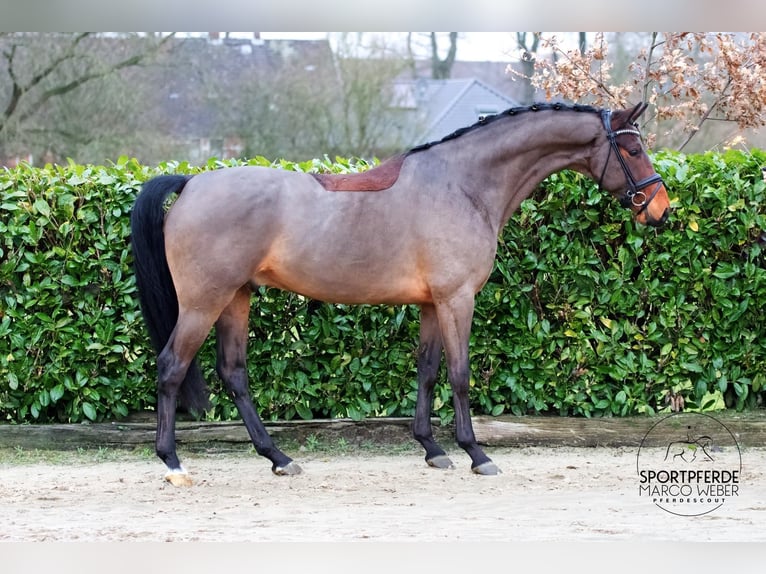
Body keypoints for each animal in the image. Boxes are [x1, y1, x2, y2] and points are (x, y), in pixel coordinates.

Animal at [130, 101, 670, 486]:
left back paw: (279, 458)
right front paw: (477, 454)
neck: (462, 183)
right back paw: (173, 465)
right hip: (204, 302)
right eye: (633, 150)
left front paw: (433, 449)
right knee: (171, 368)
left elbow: (428, 371)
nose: (660, 208)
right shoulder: (457, 300)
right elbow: (459, 375)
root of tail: (192, 183)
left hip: (236, 298)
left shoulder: (432, 304)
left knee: (234, 373)